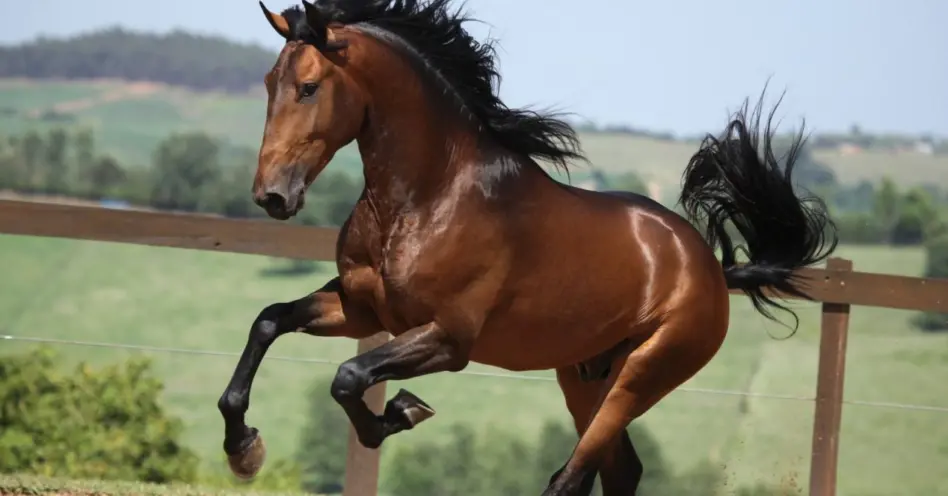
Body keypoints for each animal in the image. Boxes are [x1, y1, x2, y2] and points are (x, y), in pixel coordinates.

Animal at [217, 1, 836, 494]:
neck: (430, 197)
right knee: (619, 471)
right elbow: (269, 322)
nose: (272, 195)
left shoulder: (448, 338)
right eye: (270, 82)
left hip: (645, 372)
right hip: (584, 377)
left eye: (309, 87)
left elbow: (349, 376)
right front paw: (244, 448)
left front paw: (402, 412)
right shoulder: (362, 309)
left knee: (573, 477)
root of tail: (708, 266)